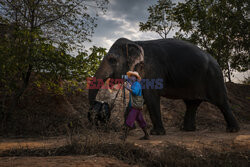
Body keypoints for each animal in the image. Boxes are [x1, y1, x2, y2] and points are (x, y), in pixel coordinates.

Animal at [88, 37, 240, 134]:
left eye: (112, 60)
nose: (99, 104)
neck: (135, 42)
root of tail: (216, 62)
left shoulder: (152, 69)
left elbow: (150, 97)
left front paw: (156, 133)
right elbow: (140, 98)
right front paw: (127, 129)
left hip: (214, 78)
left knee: (221, 102)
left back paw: (232, 130)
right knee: (191, 104)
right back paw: (187, 130)